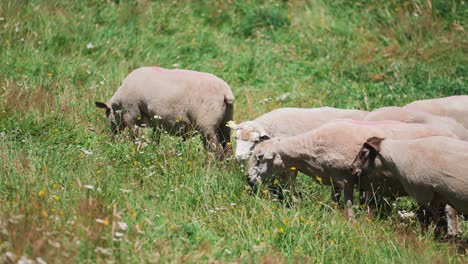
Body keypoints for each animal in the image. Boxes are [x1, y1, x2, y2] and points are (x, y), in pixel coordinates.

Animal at [95, 66, 234, 157]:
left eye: (107, 113)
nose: (111, 136)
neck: (118, 104)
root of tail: (226, 92)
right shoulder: (156, 120)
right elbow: (155, 138)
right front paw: (153, 151)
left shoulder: (131, 113)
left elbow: (134, 136)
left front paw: (133, 148)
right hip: (225, 124)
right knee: (228, 149)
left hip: (207, 125)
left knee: (218, 151)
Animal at [247, 118, 458, 220]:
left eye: (259, 158)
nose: (248, 180)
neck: (312, 148)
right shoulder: (334, 179)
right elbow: (334, 200)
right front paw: (332, 215)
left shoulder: (347, 178)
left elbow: (348, 203)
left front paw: (351, 222)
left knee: (450, 211)